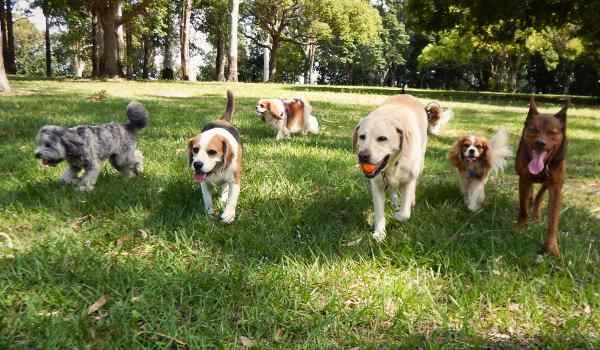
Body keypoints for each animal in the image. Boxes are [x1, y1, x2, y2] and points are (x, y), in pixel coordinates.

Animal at [189, 91, 243, 223]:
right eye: (195, 149)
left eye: (212, 152)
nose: (197, 164)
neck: (216, 169)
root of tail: (222, 120)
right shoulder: (204, 183)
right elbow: (207, 198)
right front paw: (209, 213)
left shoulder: (234, 181)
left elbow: (232, 199)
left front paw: (228, 214)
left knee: (225, 187)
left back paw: (223, 198)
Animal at [354, 94, 428, 242]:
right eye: (362, 136)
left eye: (382, 138)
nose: (362, 156)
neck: (393, 164)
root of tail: (406, 94)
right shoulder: (377, 185)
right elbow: (379, 211)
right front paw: (379, 232)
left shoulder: (408, 181)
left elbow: (405, 213)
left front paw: (398, 215)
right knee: (393, 189)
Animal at [512, 97, 568, 256]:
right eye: (533, 129)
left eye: (552, 132)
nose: (540, 143)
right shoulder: (523, 178)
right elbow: (523, 207)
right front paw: (521, 226)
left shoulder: (556, 186)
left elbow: (553, 219)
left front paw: (551, 246)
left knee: (540, 194)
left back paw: (536, 212)